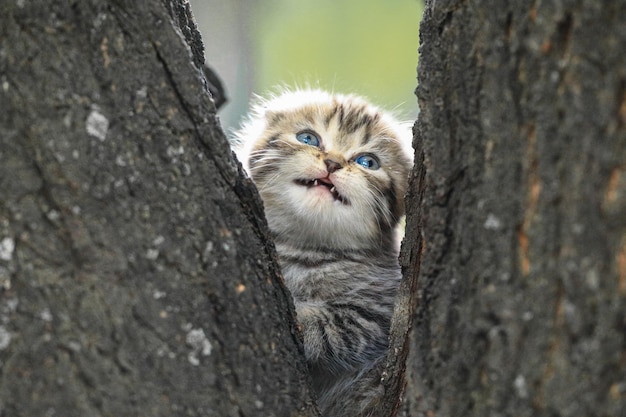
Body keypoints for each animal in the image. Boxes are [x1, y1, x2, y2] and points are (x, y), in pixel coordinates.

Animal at [232, 89, 412, 414]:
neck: (303, 247)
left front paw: (300, 317)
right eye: (308, 138)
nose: (333, 163)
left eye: (367, 161)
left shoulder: (378, 315)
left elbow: (334, 327)